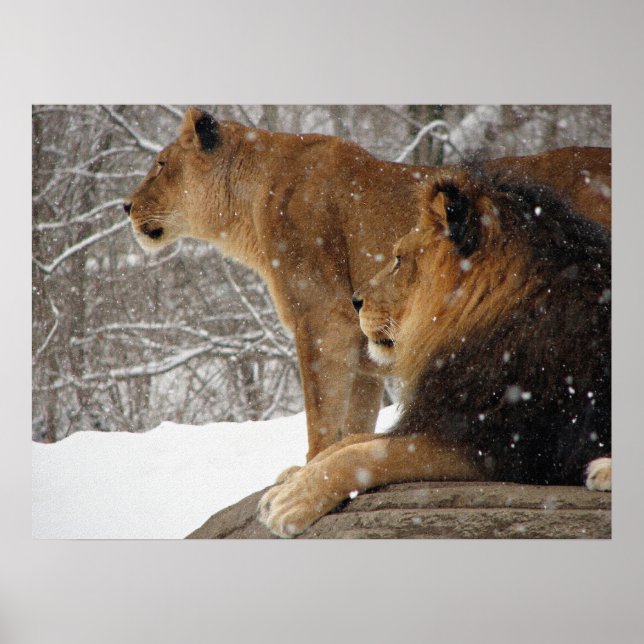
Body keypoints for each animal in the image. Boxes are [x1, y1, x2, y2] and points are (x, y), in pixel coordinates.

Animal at [125, 107, 611, 461]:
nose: (125, 205)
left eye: (161, 164)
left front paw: (309, 470)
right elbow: (354, 425)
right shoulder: (365, 354)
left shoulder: (324, 321)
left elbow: (321, 420)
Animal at [258, 169, 611, 537]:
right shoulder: (438, 415)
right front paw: (291, 478)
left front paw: (291, 501)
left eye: (399, 259)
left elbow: (367, 455)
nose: (355, 300)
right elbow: (352, 441)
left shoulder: (498, 444)